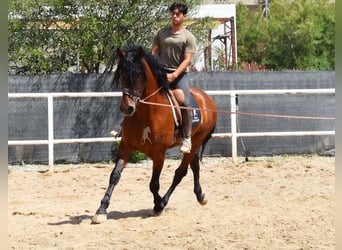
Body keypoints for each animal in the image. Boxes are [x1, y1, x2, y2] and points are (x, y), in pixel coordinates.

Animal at [91, 46, 216, 224]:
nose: (127, 108)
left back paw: (165, 201)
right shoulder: (125, 147)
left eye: (138, 74)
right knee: (194, 166)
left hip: (196, 141)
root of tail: (206, 98)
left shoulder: (159, 154)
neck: (147, 113)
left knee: (180, 172)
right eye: (121, 74)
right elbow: (114, 176)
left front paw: (158, 206)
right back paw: (200, 196)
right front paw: (101, 209)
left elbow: (153, 184)